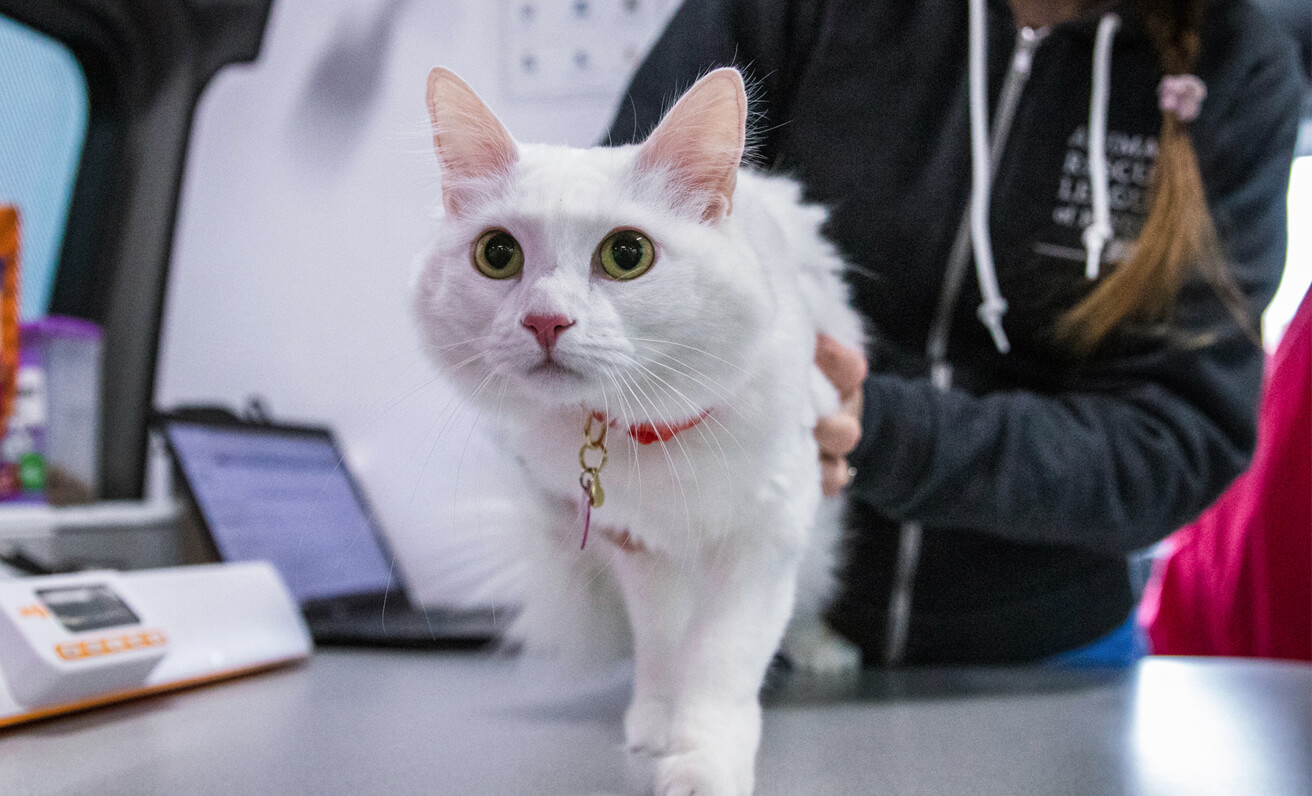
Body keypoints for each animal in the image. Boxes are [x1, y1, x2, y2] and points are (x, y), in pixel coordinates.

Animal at [414, 66, 865, 796]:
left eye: (627, 254)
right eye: (498, 254)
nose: (545, 320)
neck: (645, 435)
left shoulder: (762, 543)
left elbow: (719, 664)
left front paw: (702, 762)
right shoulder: (641, 551)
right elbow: (663, 647)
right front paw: (656, 725)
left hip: (816, 540)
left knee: (807, 600)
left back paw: (822, 649)